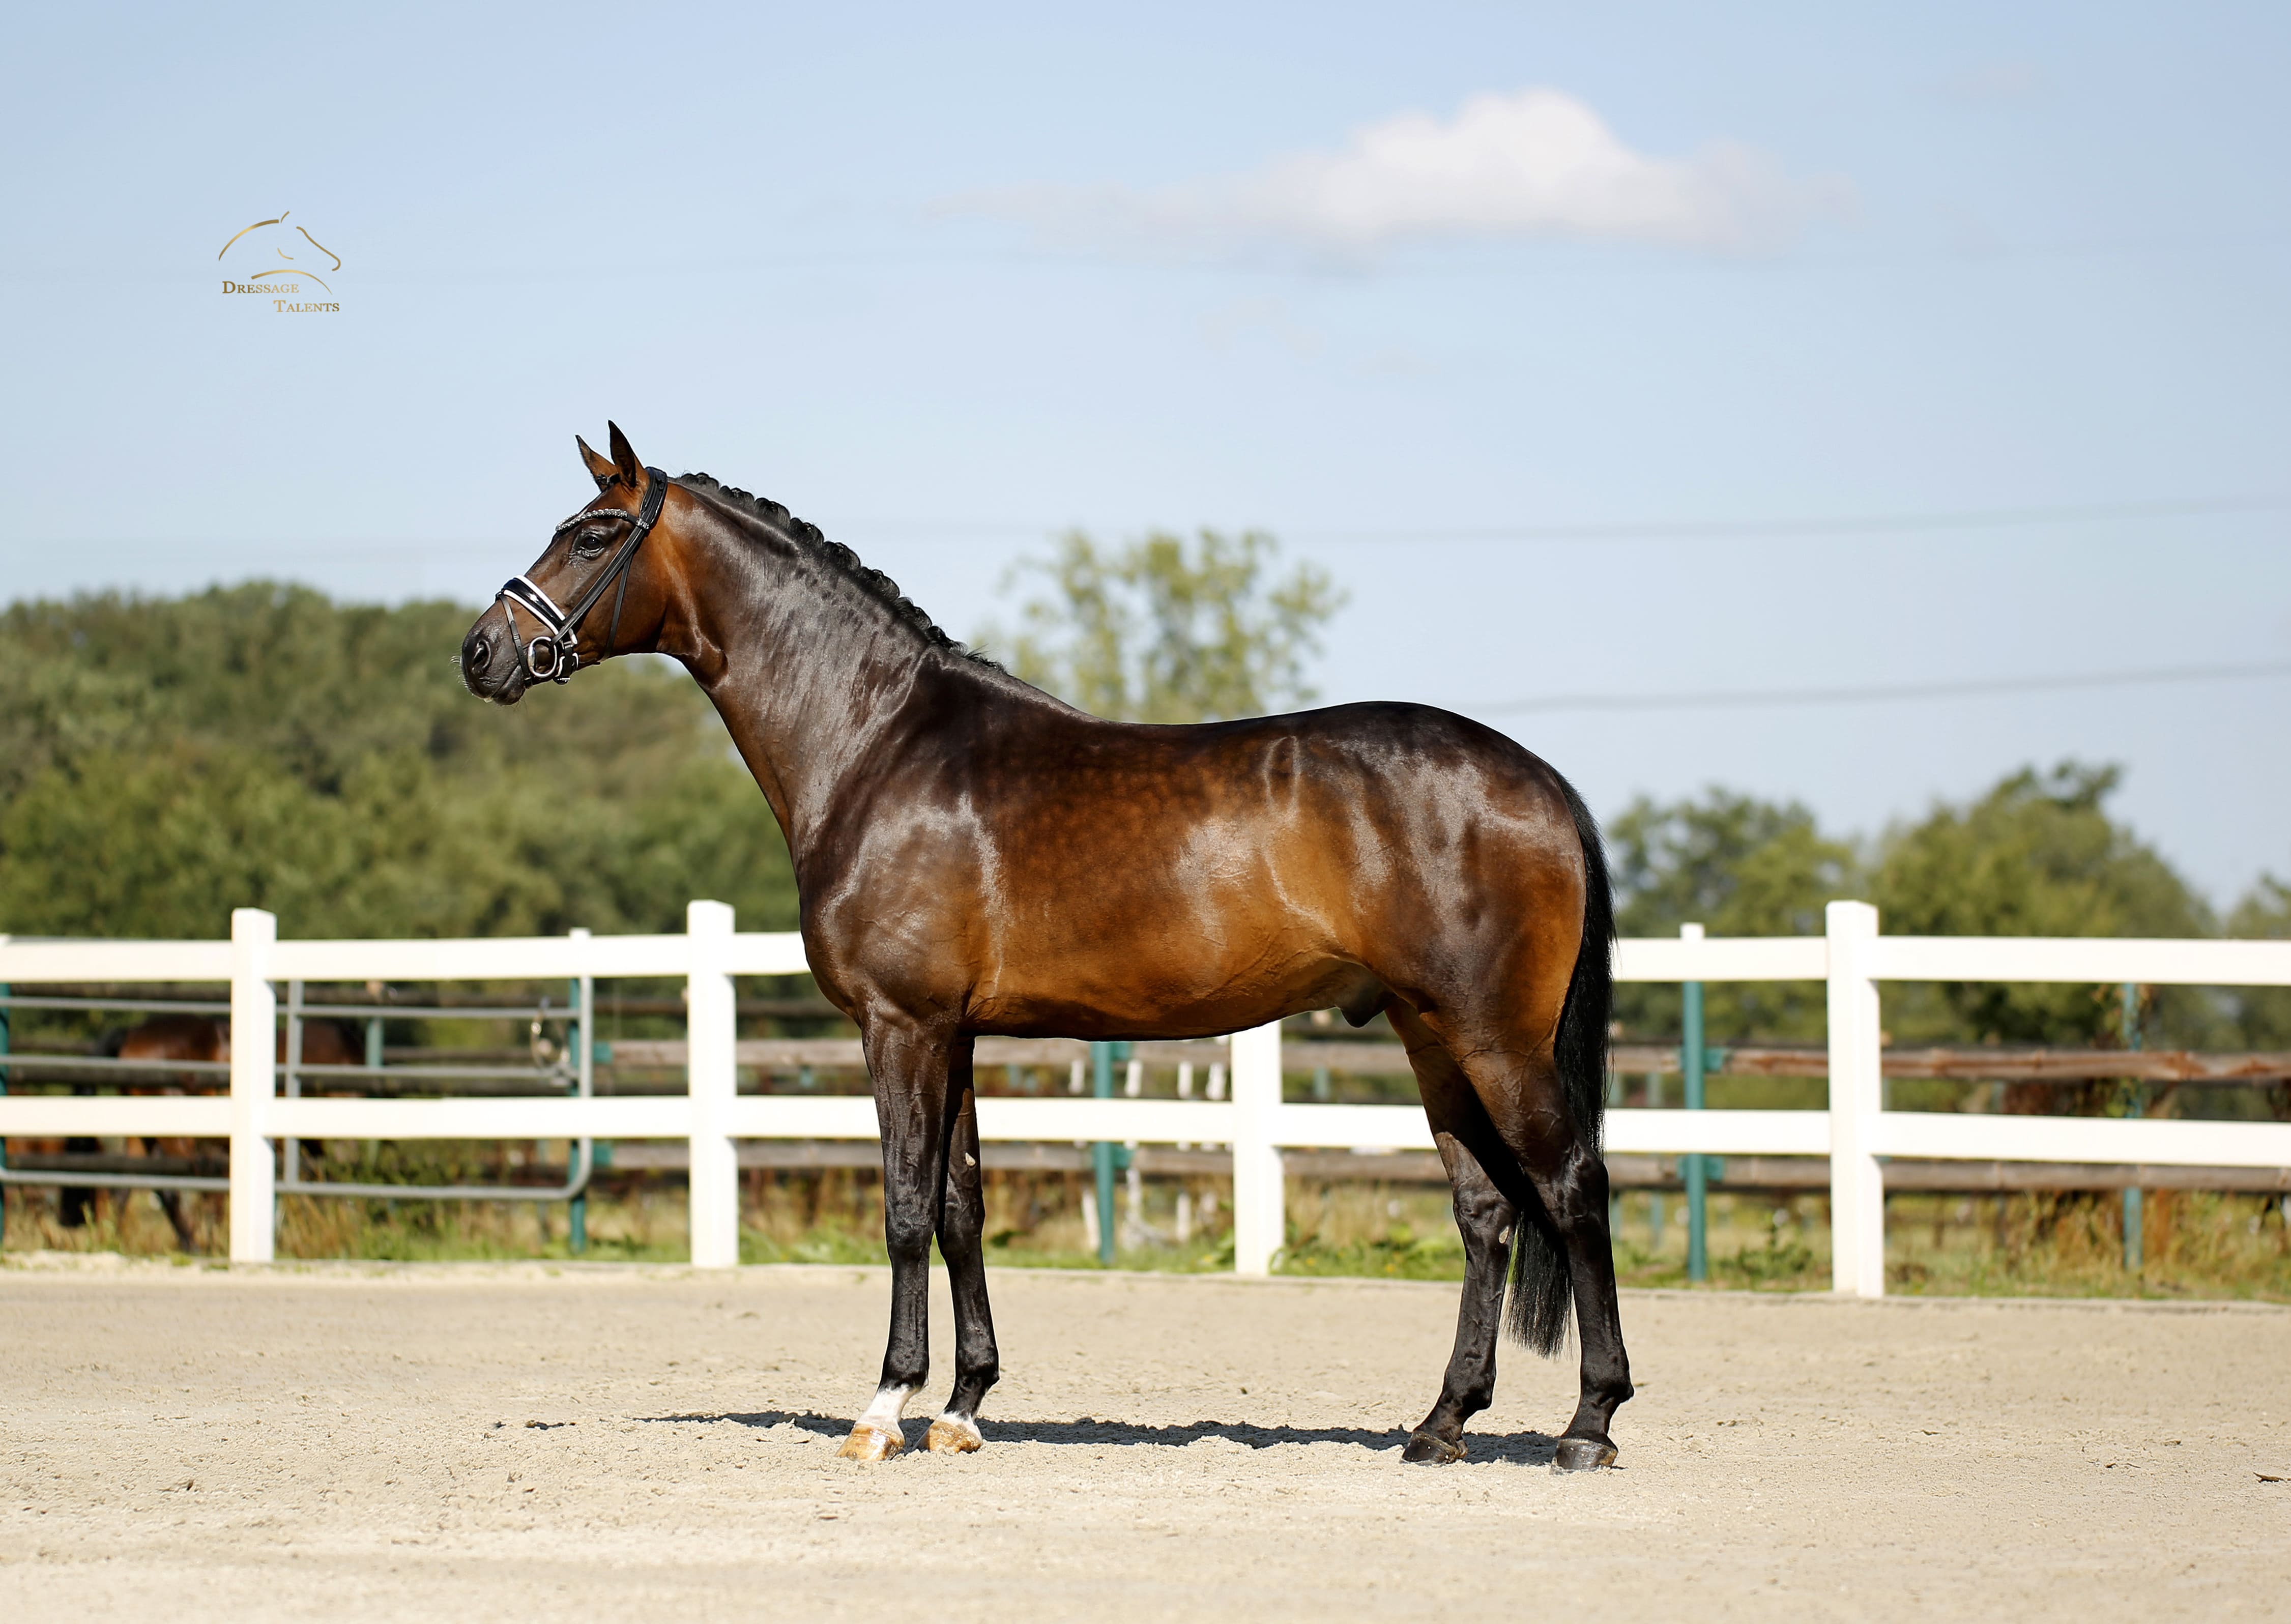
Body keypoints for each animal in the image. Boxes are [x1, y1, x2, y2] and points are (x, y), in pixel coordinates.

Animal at [458, 424, 1632, 1472]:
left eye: (595, 534)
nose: (481, 652)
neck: (878, 742)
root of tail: (1539, 779)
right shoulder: (957, 1034)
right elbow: (961, 1206)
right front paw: (963, 1407)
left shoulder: (900, 1027)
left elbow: (902, 1208)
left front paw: (883, 1410)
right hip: (1430, 1037)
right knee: (1484, 1209)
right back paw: (1440, 1425)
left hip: (1495, 1039)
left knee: (1572, 1185)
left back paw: (1586, 1425)